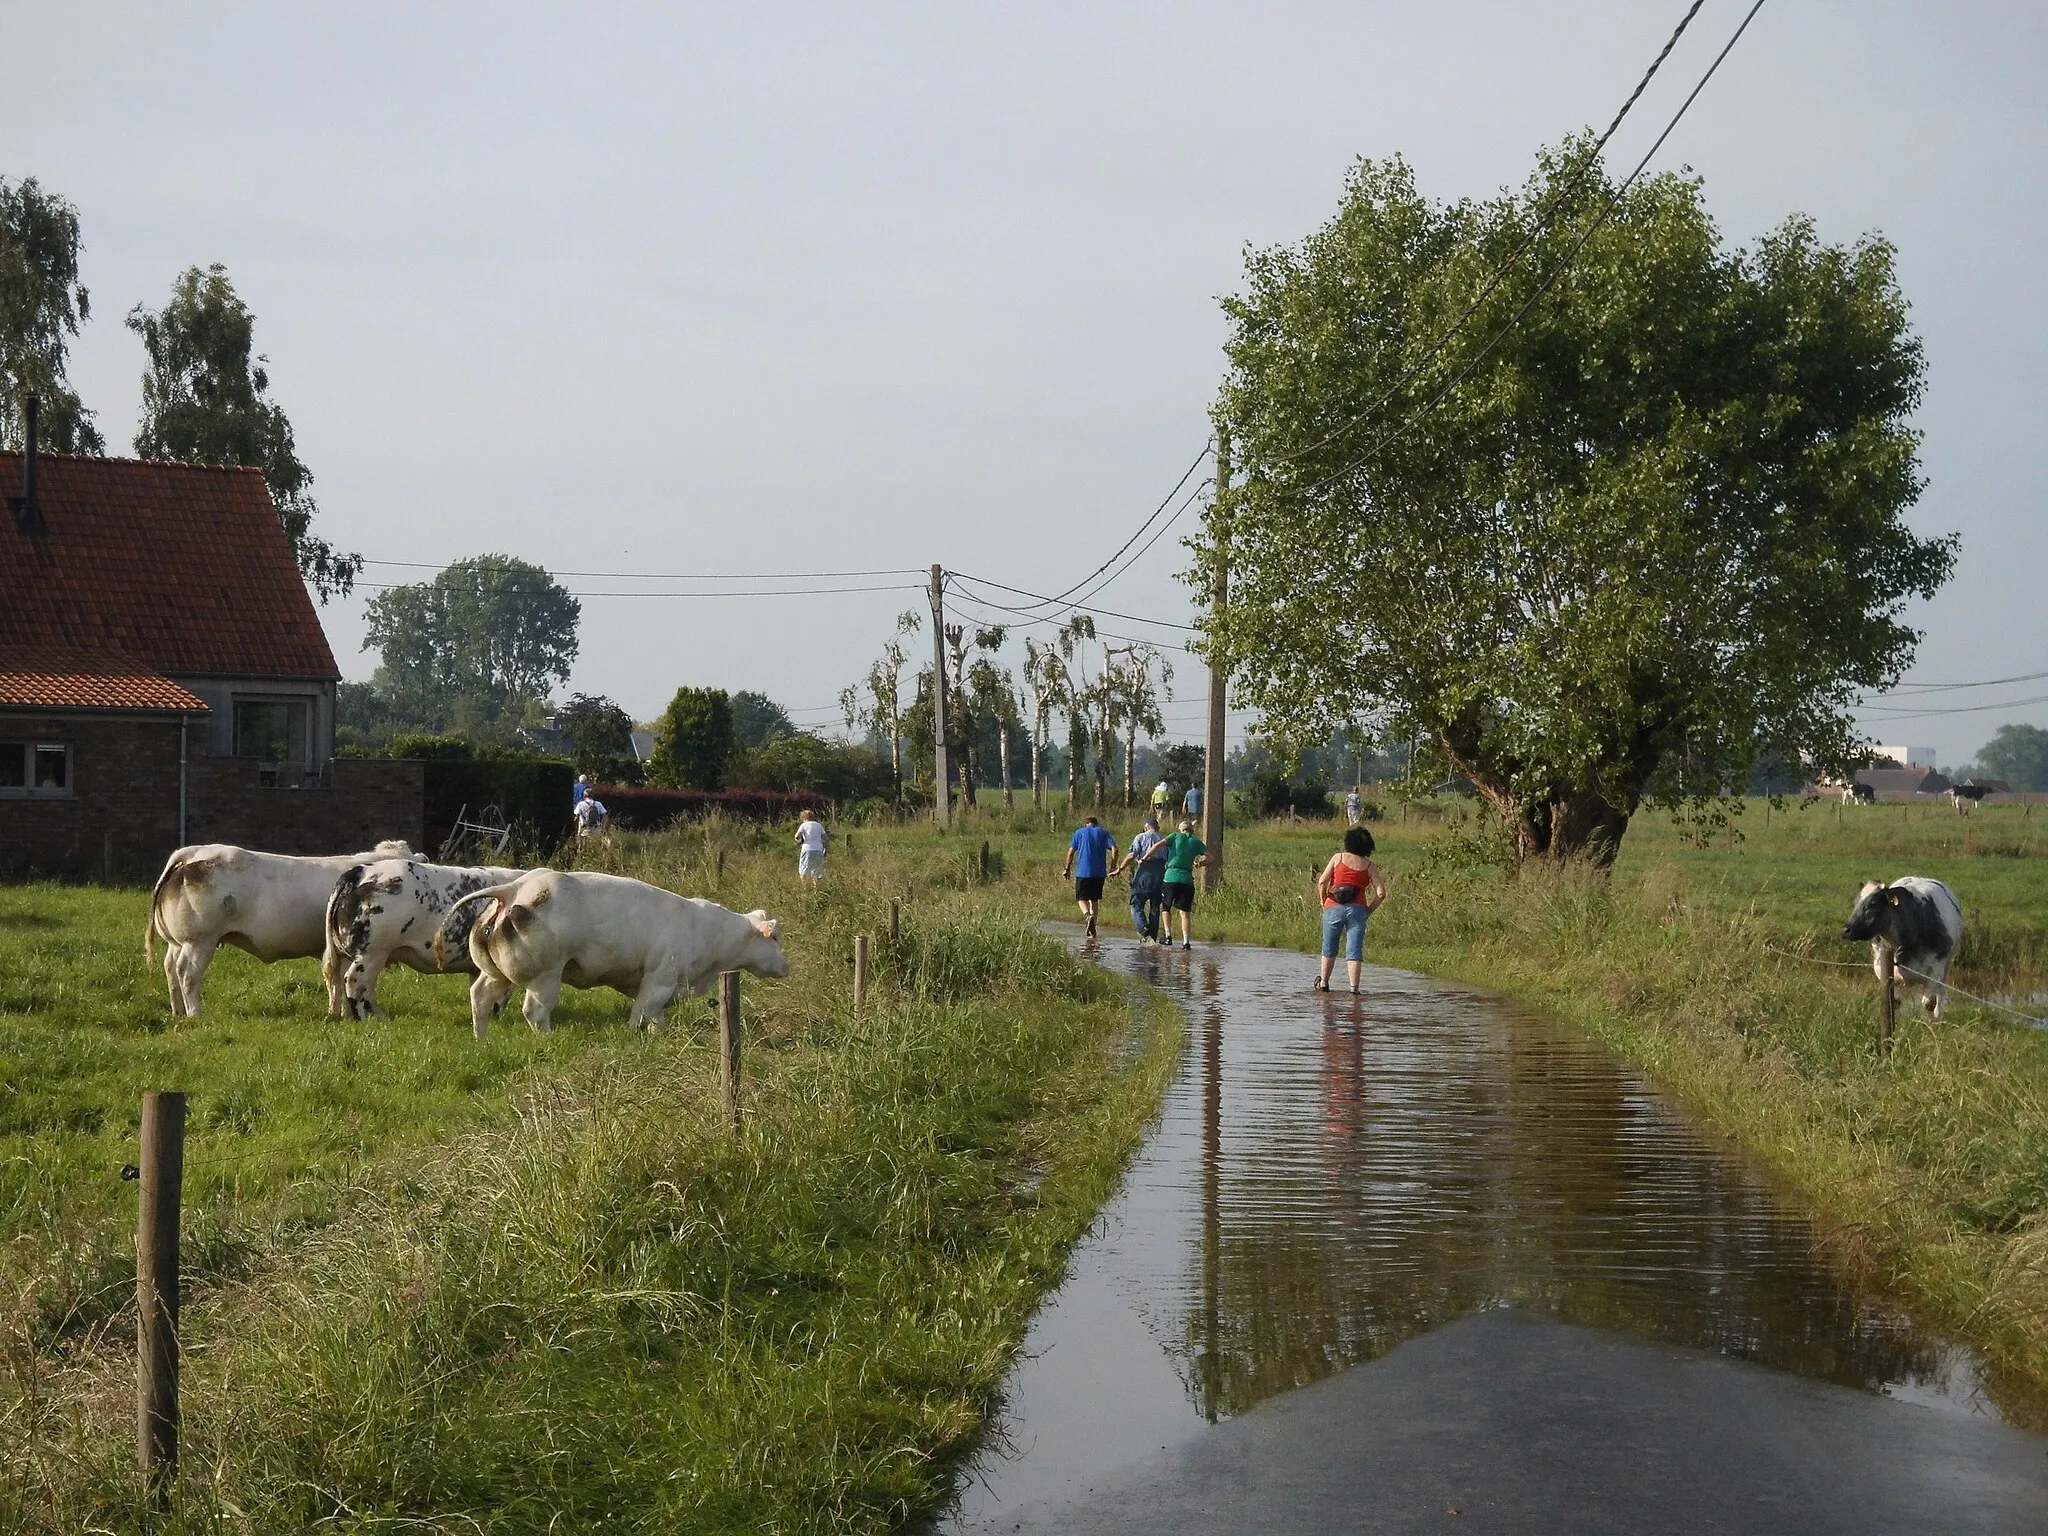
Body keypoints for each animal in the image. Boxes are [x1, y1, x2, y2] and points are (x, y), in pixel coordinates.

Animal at [147, 843, 411, 1024]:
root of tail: (195, 852)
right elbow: (343, 980)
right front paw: (346, 1014)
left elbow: (335, 981)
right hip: (199, 941)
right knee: (187, 973)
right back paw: (195, 1014)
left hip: (178, 943)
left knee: (170, 968)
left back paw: (178, 1011)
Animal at [321, 860, 524, 1015]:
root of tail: (358, 872)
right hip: (372, 952)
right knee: (354, 982)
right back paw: (364, 1017)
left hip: (353, 954)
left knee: (348, 984)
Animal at [440, 872, 790, 1040]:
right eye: (775, 937)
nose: (787, 967)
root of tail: (515, 888)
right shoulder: (660, 980)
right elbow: (640, 1015)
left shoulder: (660, 988)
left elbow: (656, 1018)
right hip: (546, 975)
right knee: (535, 1012)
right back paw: (547, 1039)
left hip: (496, 973)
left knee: (480, 997)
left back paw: (481, 1039)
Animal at [1843, 876, 1966, 1024]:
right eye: (1855, 903)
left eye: (1872, 904)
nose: (1846, 930)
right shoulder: (1884, 970)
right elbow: (1894, 1002)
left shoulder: (1936, 969)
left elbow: (1928, 1003)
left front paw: (1928, 1024)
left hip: (1948, 961)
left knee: (1941, 990)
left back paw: (1938, 1015)